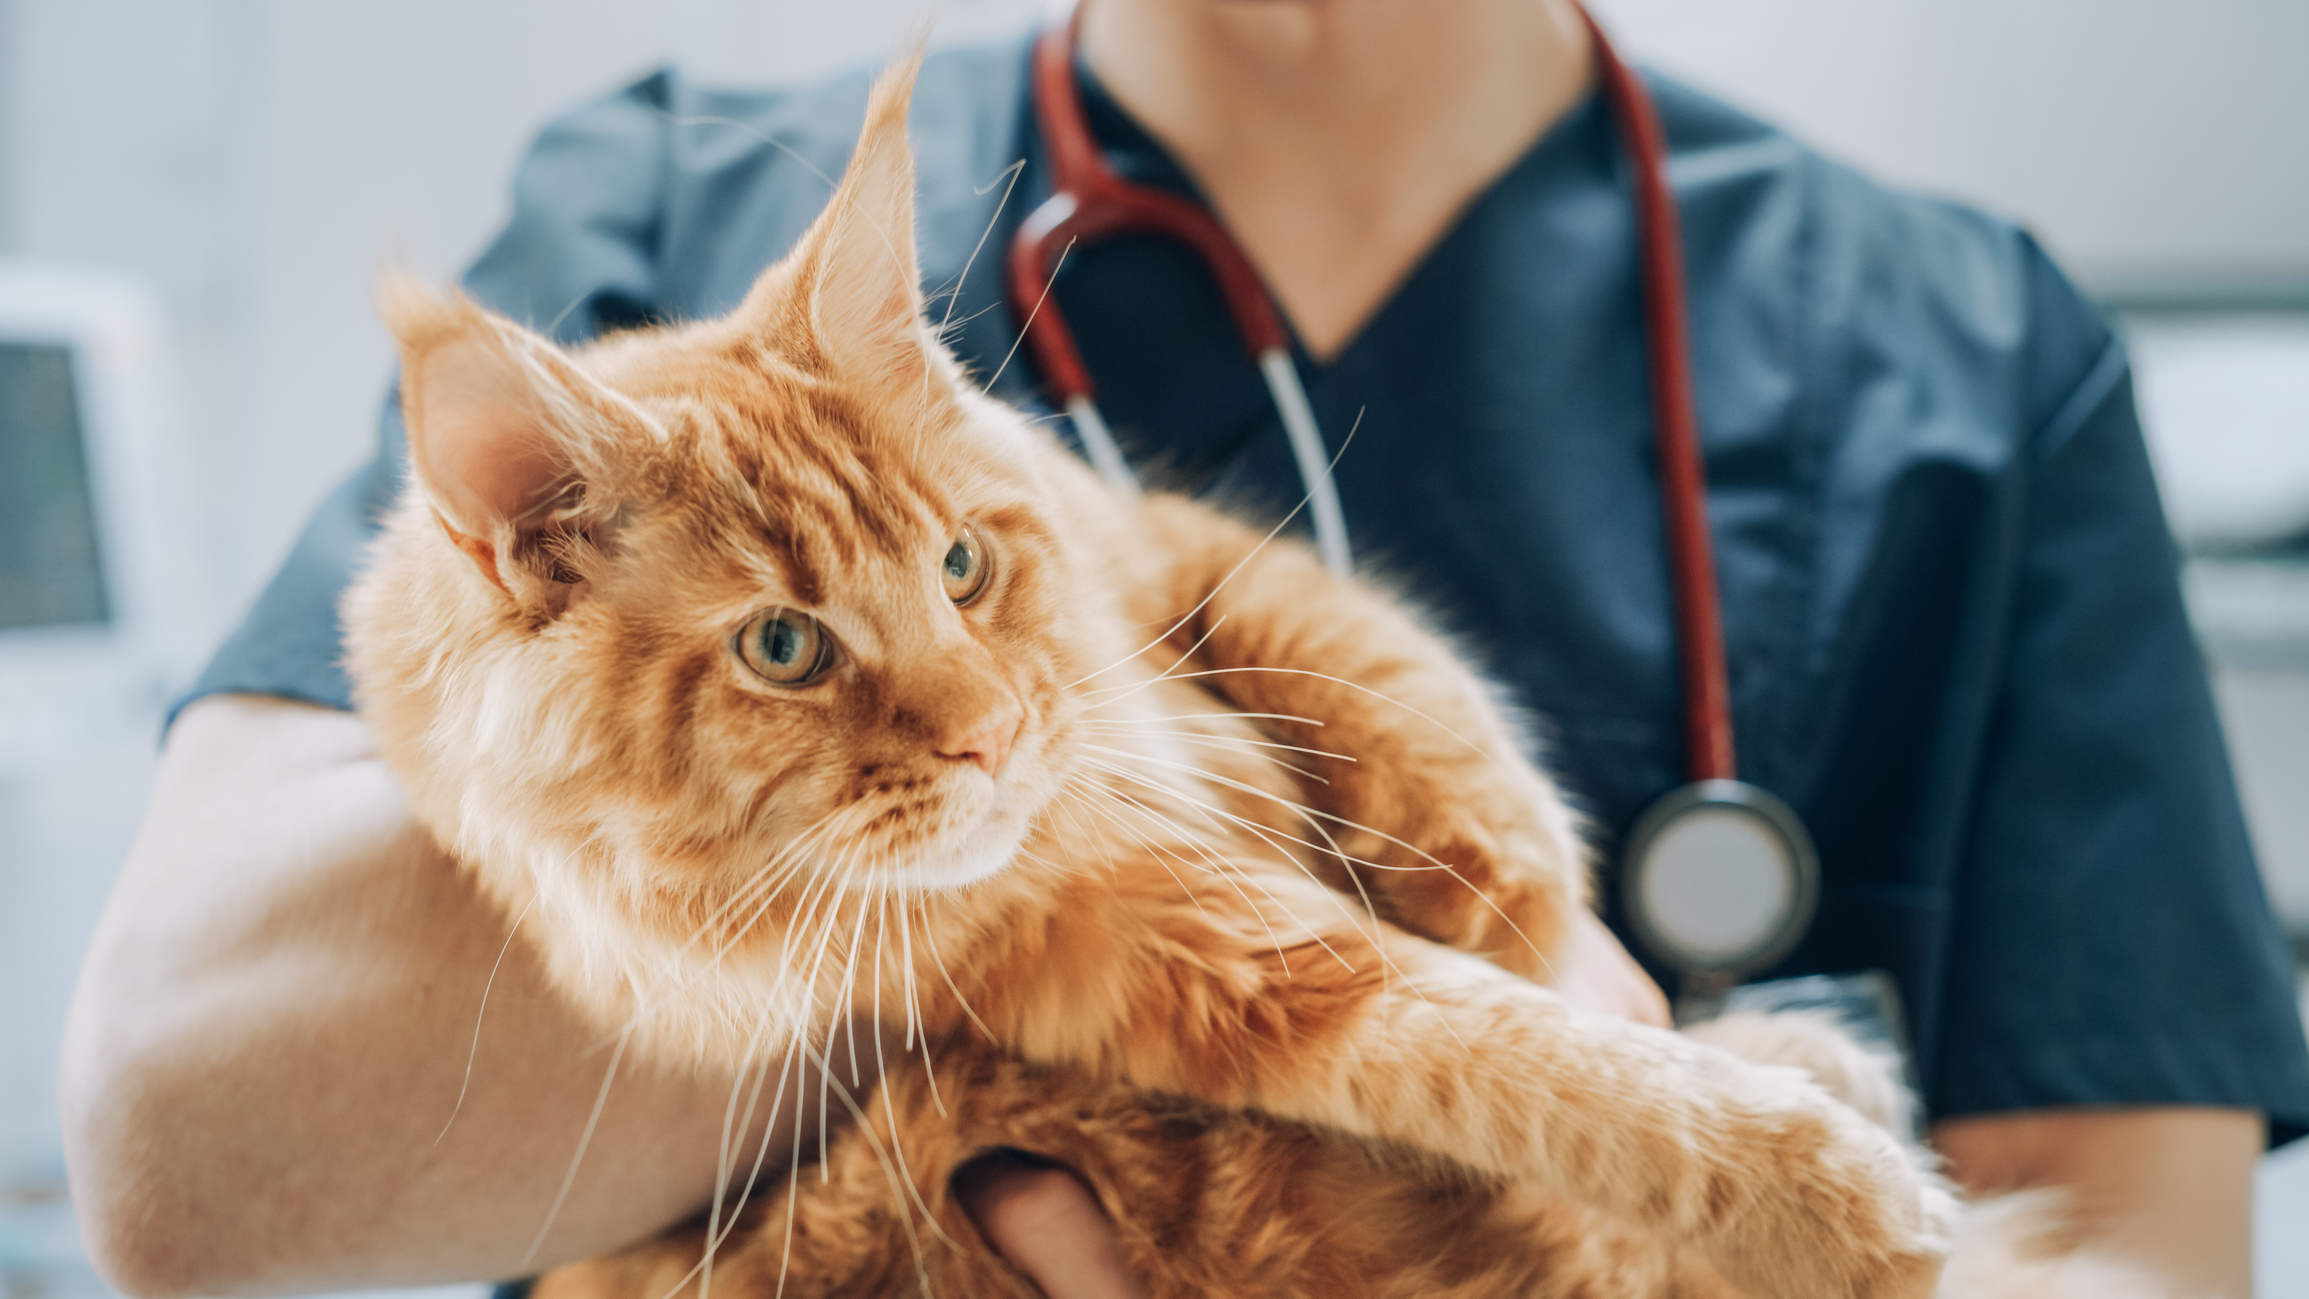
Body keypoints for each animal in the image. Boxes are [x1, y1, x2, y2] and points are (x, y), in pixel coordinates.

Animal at [341, 53, 1967, 1299]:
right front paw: (1833, 1192)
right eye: (783, 647)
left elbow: (1387, 682)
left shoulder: (1170, 545)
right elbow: (1508, 1051)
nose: (999, 735)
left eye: (960, 567)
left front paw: (1509, 887)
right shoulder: (1160, 964)